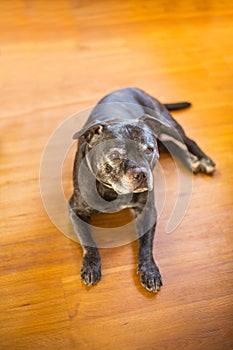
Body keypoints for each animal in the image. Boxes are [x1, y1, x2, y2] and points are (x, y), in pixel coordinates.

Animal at [68, 87, 215, 292]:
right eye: (116, 155)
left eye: (148, 150)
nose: (142, 173)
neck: (113, 191)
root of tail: (132, 87)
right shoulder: (76, 210)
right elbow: (87, 241)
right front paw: (91, 265)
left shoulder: (147, 211)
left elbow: (146, 244)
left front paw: (149, 270)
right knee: (170, 145)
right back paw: (191, 161)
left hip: (168, 123)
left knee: (187, 140)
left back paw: (203, 160)